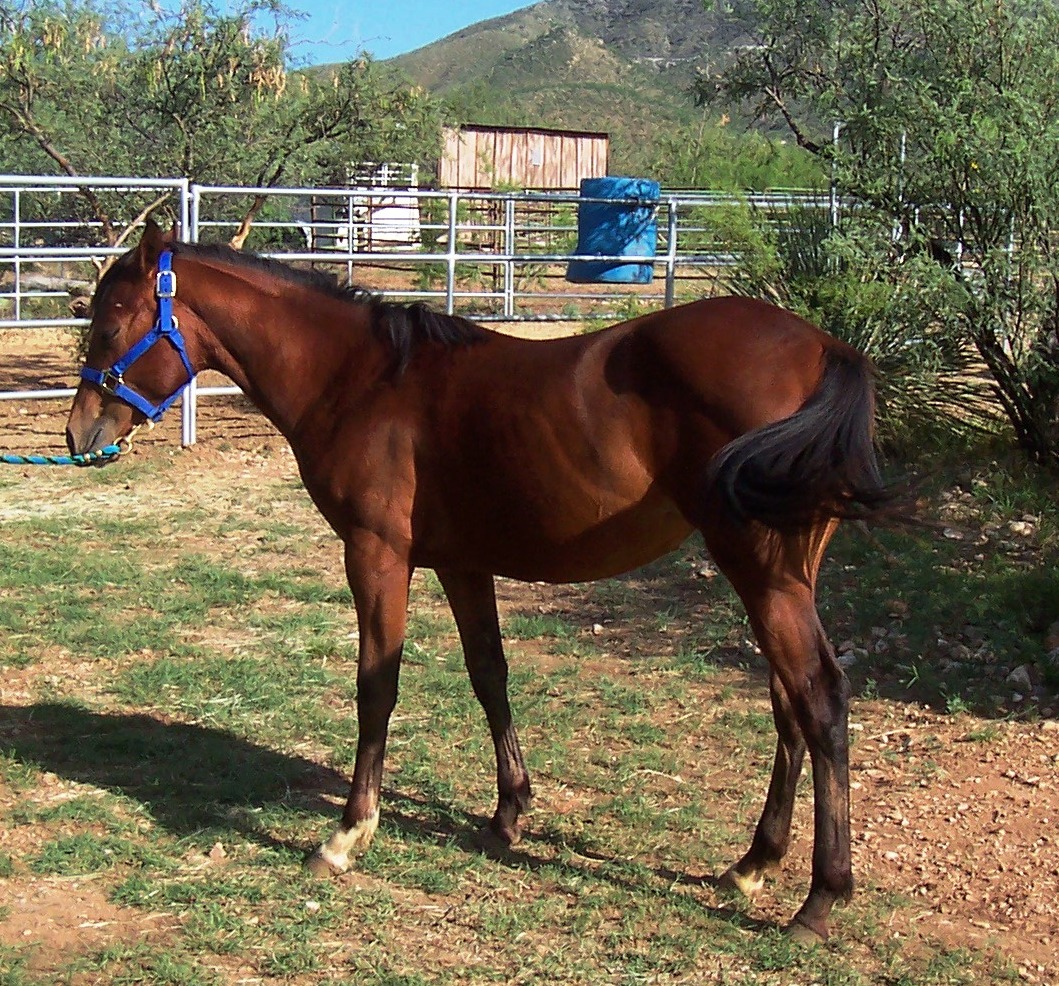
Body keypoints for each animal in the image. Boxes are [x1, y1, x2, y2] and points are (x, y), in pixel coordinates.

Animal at [66, 219, 895, 942]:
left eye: (109, 326)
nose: (79, 435)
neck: (361, 380)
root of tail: (825, 348)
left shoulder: (376, 554)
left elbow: (377, 685)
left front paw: (347, 833)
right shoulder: (464, 564)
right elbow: (488, 673)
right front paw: (508, 813)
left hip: (761, 573)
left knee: (819, 701)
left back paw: (818, 900)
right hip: (780, 577)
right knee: (787, 703)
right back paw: (752, 864)